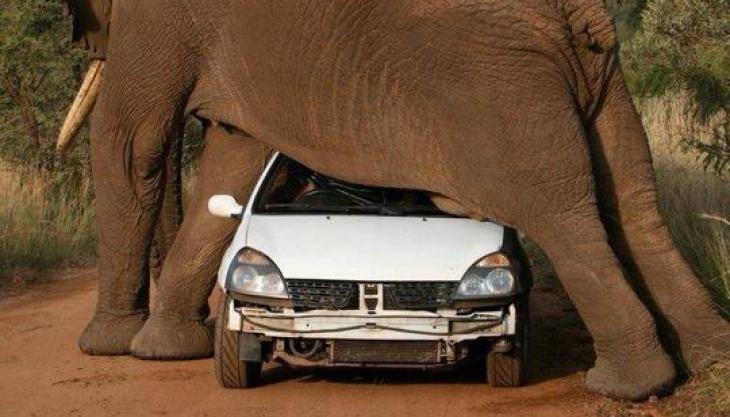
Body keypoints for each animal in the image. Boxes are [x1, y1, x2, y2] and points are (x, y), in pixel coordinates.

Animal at [58, 0, 729, 400]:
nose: (198, 319)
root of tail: (574, 16)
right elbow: (234, 158)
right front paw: (167, 348)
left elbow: (129, 143)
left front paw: (116, 346)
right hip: (599, 78)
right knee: (632, 202)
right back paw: (709, 359)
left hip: (502, 91)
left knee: (564, 215)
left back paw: (628, 386)